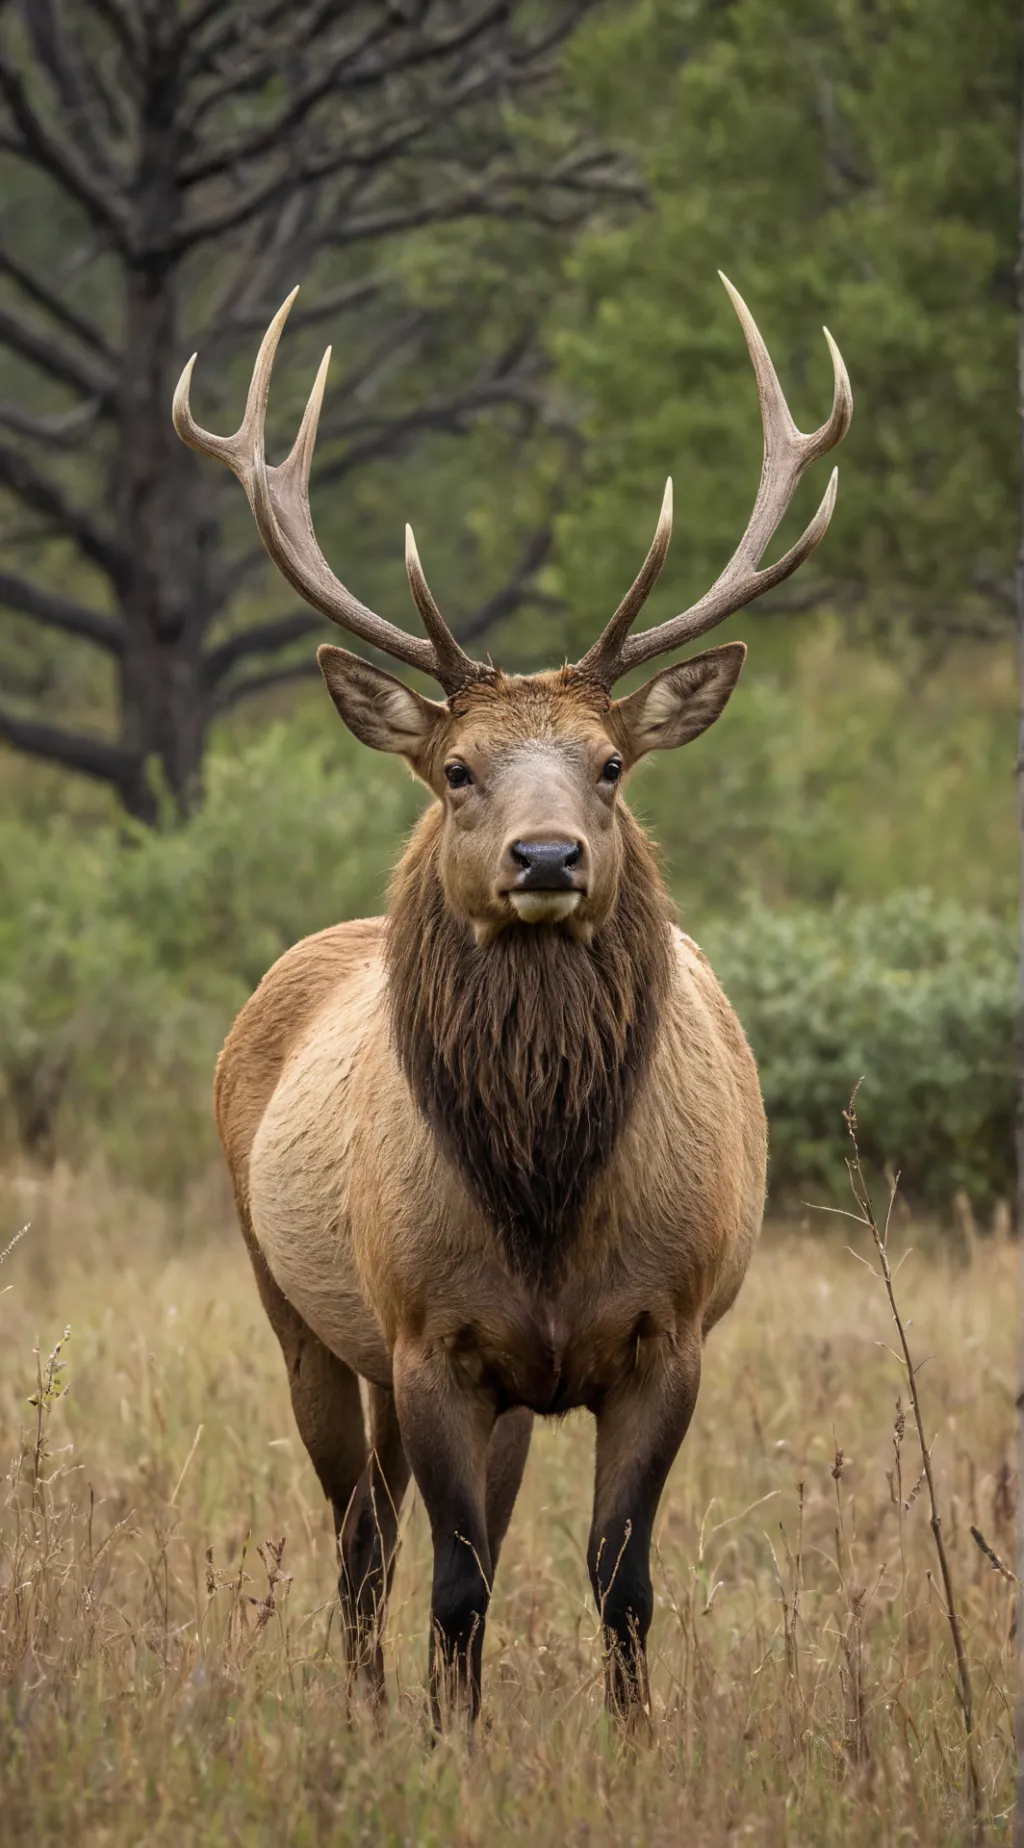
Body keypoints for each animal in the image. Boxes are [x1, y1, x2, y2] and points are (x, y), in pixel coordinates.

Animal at [173, 273, 851, 1729]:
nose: (548, 859)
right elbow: (457, 1578)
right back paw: (368, 1708)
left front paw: (633, 1742)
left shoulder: (668, 1332)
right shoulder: (429, 1335)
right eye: (457, 770)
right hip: (301, 1311)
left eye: (610, 764)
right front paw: (448, 1742)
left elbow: (620, 1577)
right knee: (361, 1533)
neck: (543, 1195)